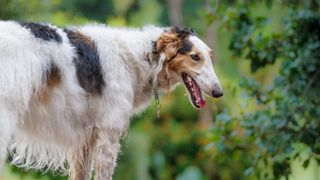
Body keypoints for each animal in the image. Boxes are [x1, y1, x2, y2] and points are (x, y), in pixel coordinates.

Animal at [0, 20, 224, 179]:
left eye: (210, 56)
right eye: (195, 57)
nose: (219, 92)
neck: (141, 58)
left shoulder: (85, 141)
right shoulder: (108, 134)